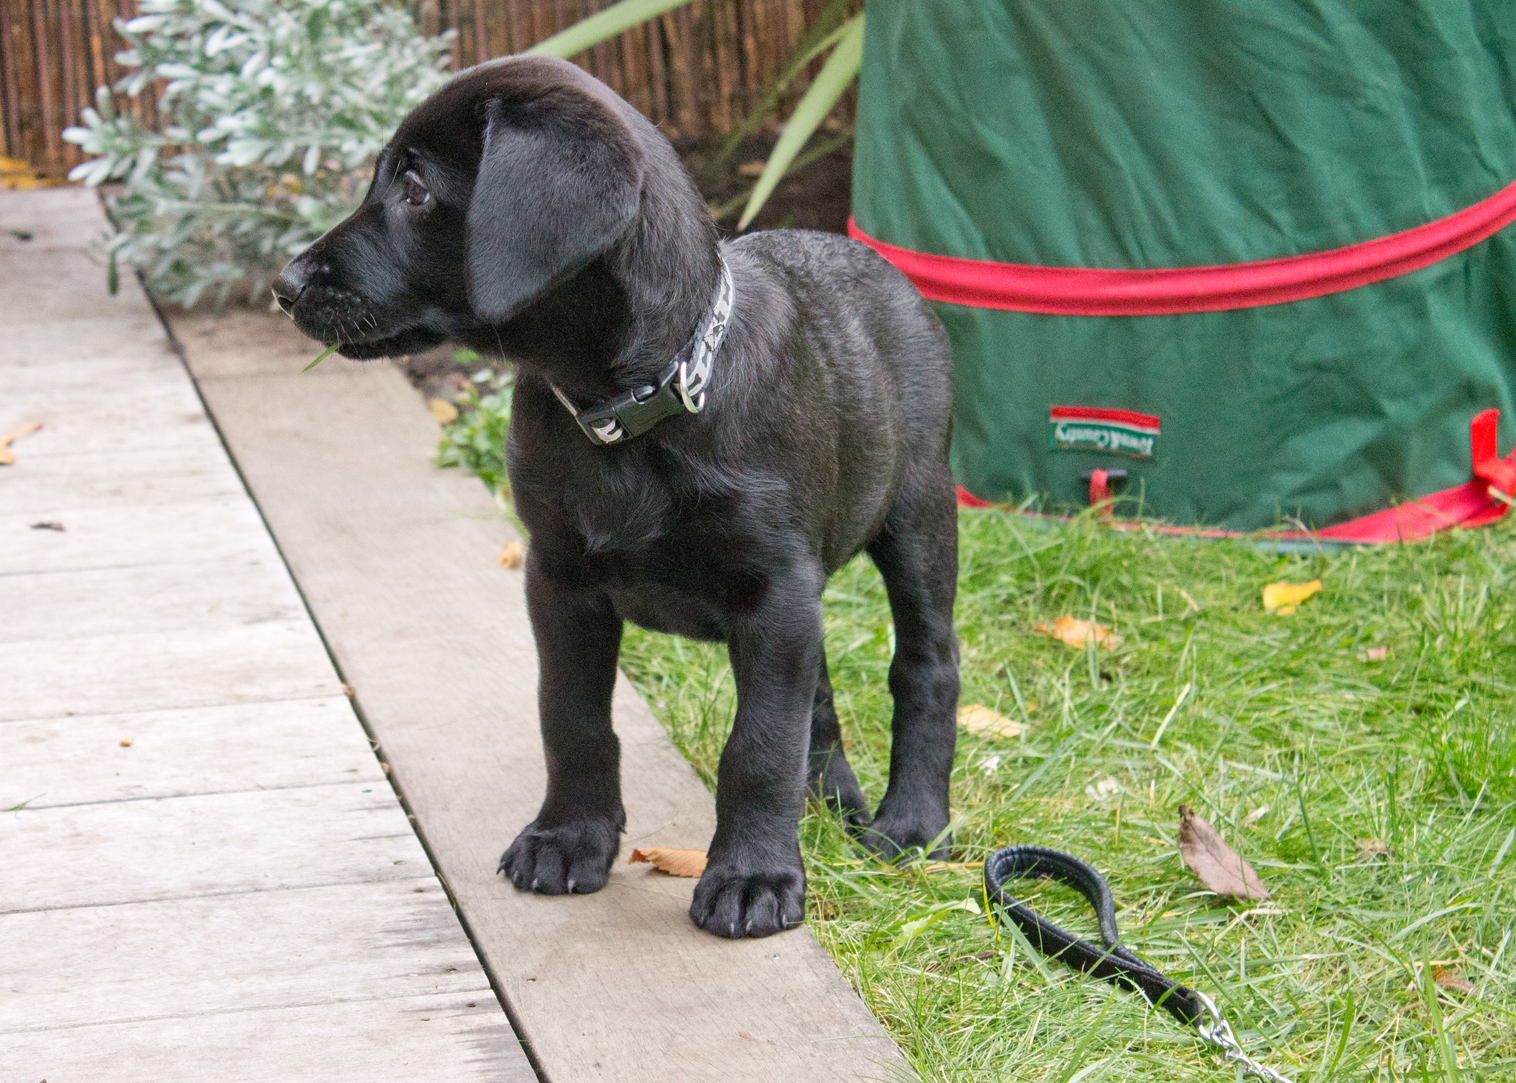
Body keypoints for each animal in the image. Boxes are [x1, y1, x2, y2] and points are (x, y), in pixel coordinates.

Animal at [273, 54, 959, 939]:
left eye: (415, 190)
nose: (284, 284)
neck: (625, 410)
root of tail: (871, 259)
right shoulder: (560, 579)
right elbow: (573, 718)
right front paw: (570, 836)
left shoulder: (773, 592)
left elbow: (757, 744)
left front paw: (753, 874)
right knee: (822, 692)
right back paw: (830, 798)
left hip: (919, 515)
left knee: (927, 665)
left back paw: (911, 822)